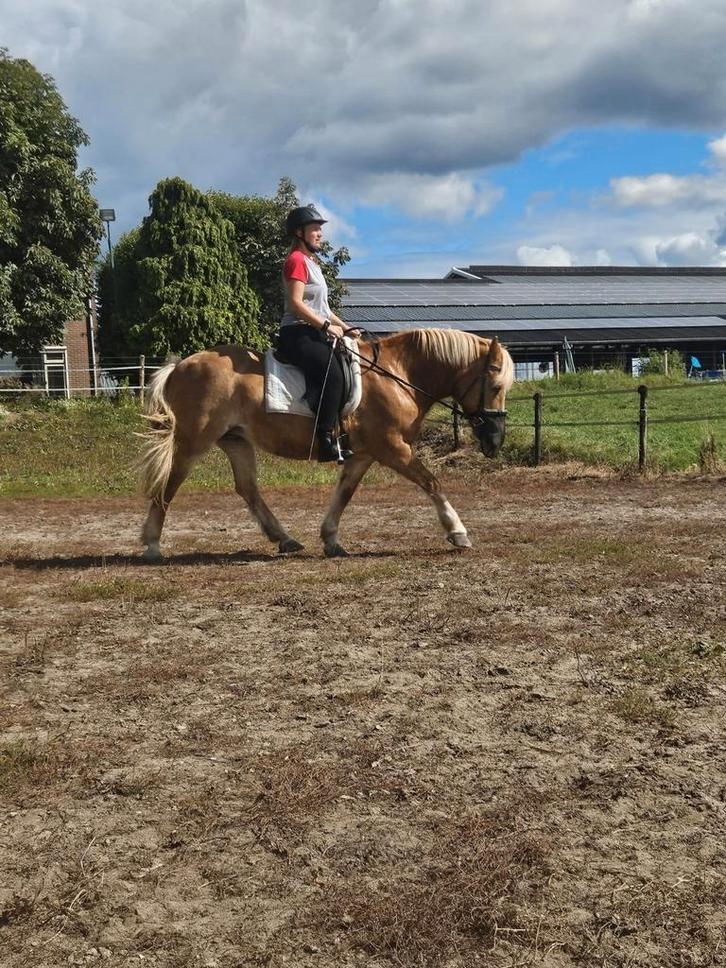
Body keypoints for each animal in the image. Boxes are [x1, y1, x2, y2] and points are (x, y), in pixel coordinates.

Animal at [138, 328, 514, 560]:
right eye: (496, 386)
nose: (495, 440)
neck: (398, 376)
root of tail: (179, 366)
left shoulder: (363, 454)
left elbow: (344, 493)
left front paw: (331, 538)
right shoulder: (393, 448)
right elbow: (431, 482)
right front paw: (458, 532)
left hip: (235, 440)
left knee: (247, 488)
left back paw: (285, 539)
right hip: (193, 441)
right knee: (169, 484)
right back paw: (152, 545)